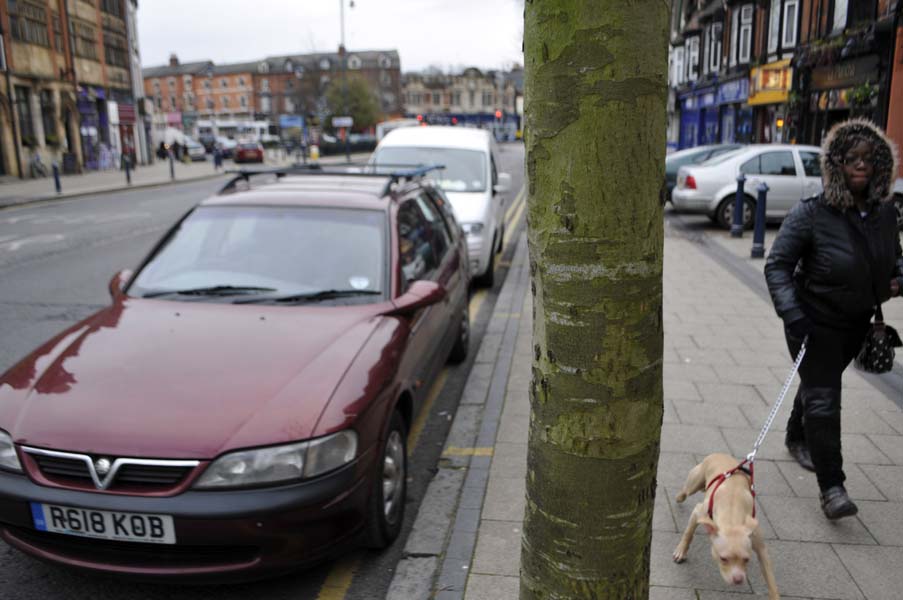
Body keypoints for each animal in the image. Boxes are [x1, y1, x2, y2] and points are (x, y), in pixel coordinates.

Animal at [676, 452, 780, 596]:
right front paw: (681, 551)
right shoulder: (698, 512)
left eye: (747, 559)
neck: (732, 518)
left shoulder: (760, 548)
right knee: (685, 492)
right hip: (694, 482)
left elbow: (771, 580)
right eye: (723, 559)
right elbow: (688, 533)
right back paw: (679, 497)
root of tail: (719, 453)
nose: (738, 580)